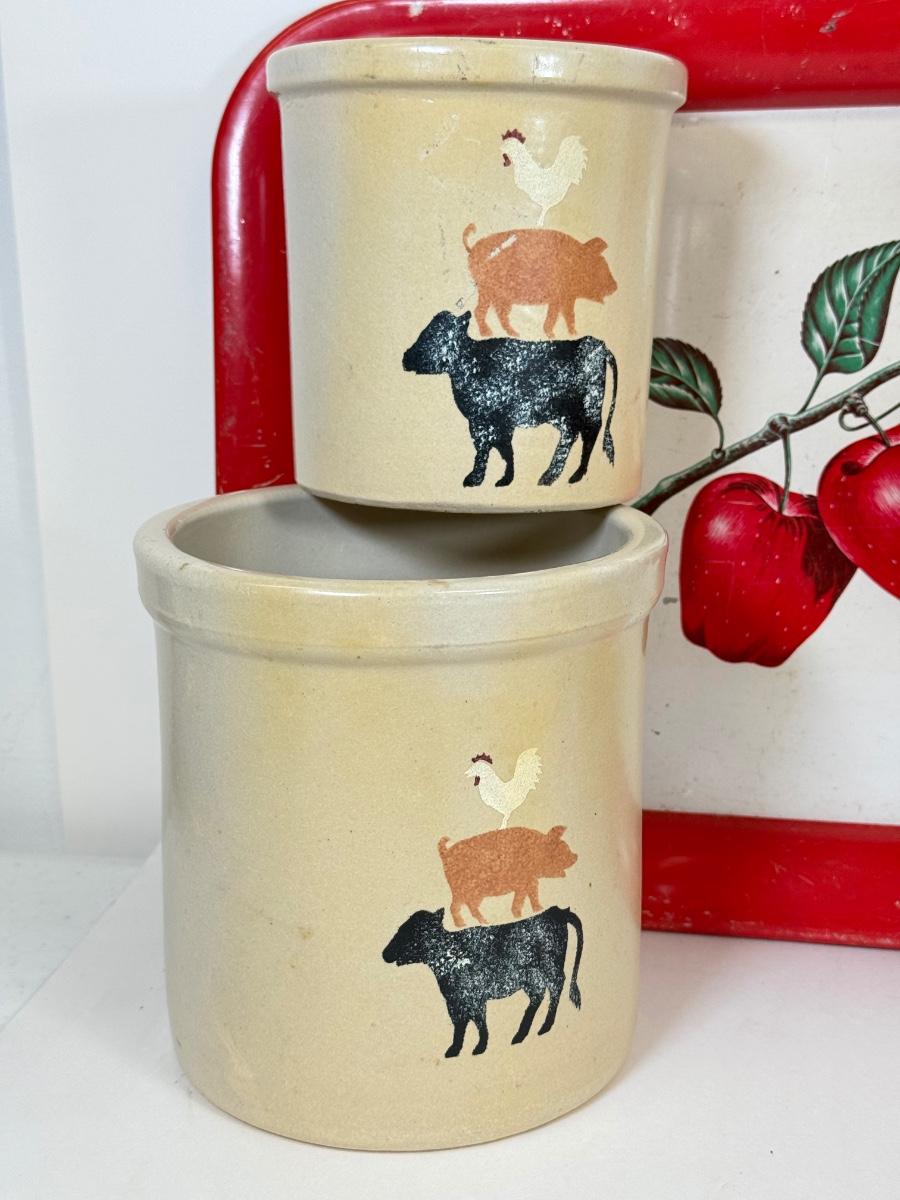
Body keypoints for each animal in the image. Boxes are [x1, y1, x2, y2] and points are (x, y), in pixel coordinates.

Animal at [382, 905, 584, 1058]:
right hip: (531, 978)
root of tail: (557, 911)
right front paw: (455, 1049)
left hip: (551, 968)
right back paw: (520, 1034)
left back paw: (545, 1026)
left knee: (556, 988)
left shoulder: (474, 997)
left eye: (411, 931)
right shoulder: (454, 1000)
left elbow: (477, 1021)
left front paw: (479, 1047)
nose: (385, 953)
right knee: (537, 996)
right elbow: (460, 1025)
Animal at [402, 310, 617, 488]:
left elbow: (497, 448)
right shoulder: (483, 421)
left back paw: (576, 474)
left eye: (434, 335)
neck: (473, 362)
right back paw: (549, 476)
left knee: (590, 433)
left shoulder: (495, 421)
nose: (405, 357)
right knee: (570, 435)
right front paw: (491, 478)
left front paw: (490, 479)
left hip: (590, 405)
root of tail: (598, 344)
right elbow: (495, 448)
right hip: (562, 414)